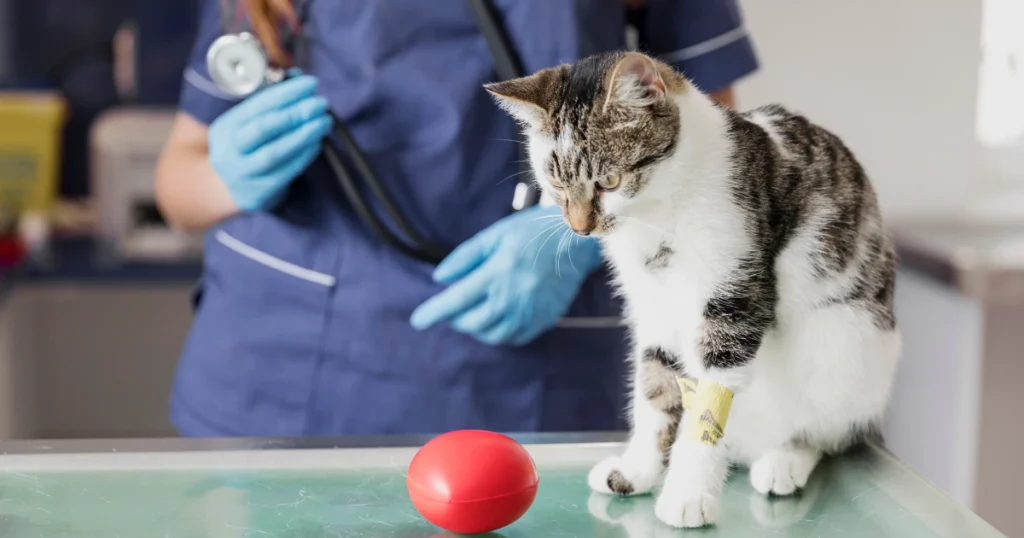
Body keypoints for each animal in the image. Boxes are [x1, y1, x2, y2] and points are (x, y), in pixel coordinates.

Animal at [483, 51, 901, 528]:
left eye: (608, 182)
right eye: (555, 184)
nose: (580, 228)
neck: (655, 215)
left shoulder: (733, 297)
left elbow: (707, 406)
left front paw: (687, 494)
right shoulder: (653, 308)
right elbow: (654, 390)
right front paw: (637, 470)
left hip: (844, 339)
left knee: (826, 431)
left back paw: (784, 460)